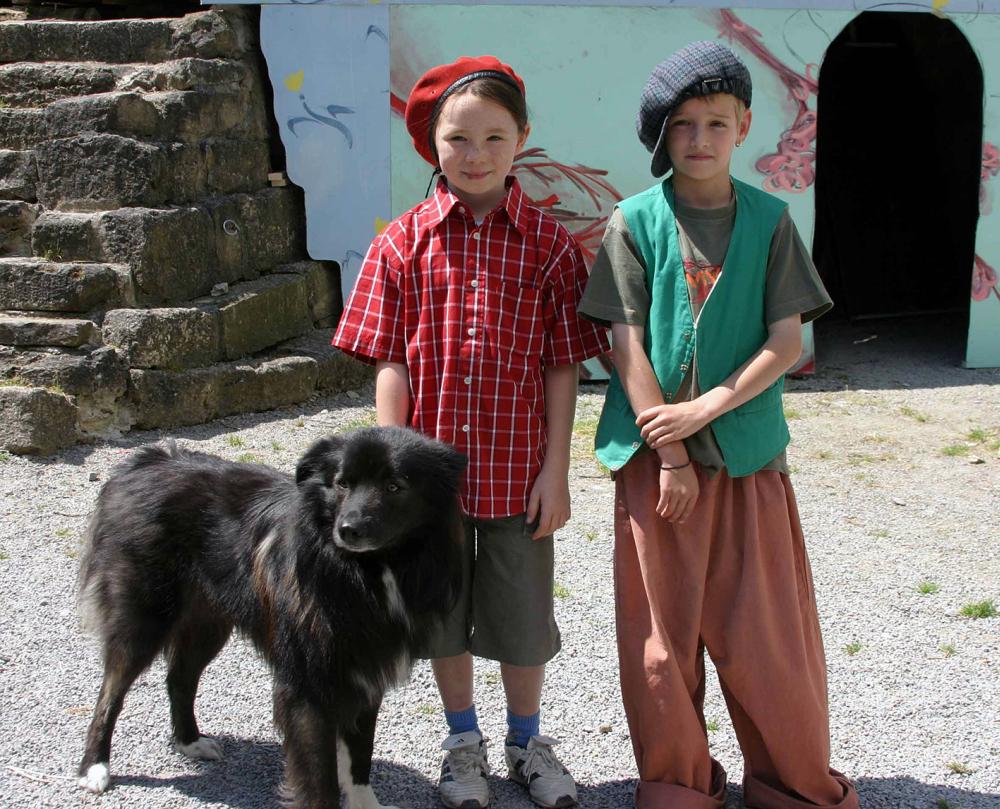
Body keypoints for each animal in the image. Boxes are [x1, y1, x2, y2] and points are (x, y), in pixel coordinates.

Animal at [76, 426, 466, 809]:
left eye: (394, 486)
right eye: (342, 483)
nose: (348, 530)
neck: (368, 570)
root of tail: (146, 462)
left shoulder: (366, 672)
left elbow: (360, 757)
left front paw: (365, 804)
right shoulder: (308, 688)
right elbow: (320, 781)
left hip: (207, 623)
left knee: (180, 679)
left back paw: (189, 742)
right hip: (144, 620)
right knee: (110, 694)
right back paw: (94, 768)